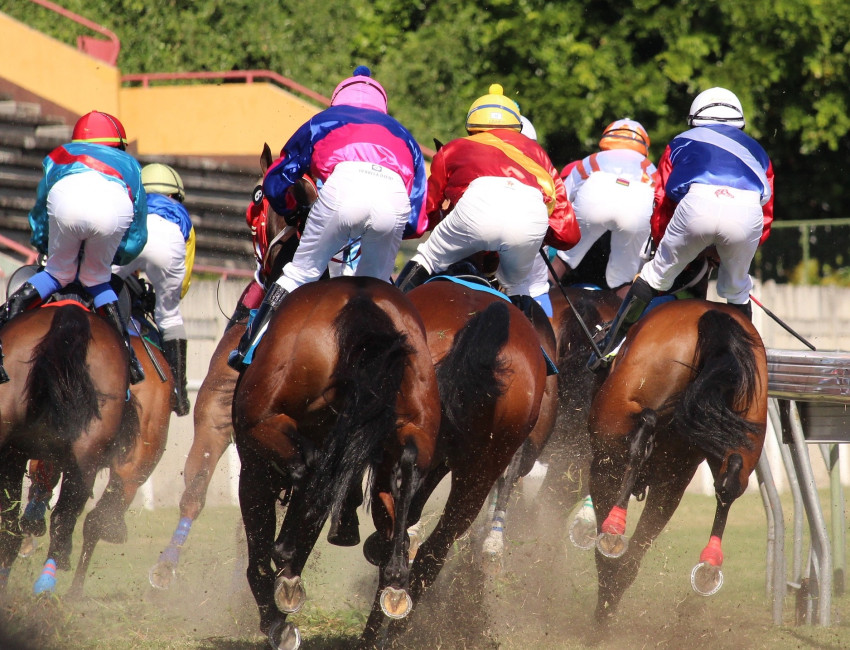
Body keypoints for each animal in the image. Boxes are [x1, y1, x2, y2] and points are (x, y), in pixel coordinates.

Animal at [234, 276, 440, 644]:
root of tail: (362, 299)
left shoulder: (255, 465)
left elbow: (261, 544)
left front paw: (274, 614)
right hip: (417, 424)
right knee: (406, 467)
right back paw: (396, 576)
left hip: (268, 426)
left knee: (309, 471)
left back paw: (285, 556)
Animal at [588, 298, 764, 616]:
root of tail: (711, 316)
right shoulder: (671, 483)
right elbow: (631, 560)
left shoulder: (603, 466)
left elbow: (607, 560)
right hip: (745, 430)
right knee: (731, 479)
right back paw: (708, 565)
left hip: (617, 432)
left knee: (642, 432)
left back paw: (615, 530)